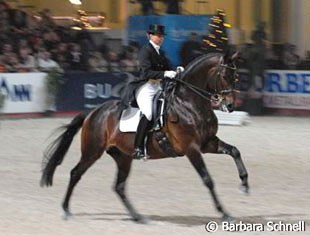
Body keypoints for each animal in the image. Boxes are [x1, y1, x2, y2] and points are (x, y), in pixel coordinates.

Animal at [40, 52, 249, 223]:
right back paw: (66, 210)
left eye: (236, 77)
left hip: (123, 156)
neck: (189, 103)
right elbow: (207, 179)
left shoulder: (207, 143)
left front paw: (244, 185)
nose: (230, 106)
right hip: (92, 151)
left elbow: (235, 151)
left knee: (119, 186)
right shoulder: (192, 149)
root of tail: (93, 112)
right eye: (224, 76)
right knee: (76, 173)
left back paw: (137, 217)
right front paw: (224, 213)